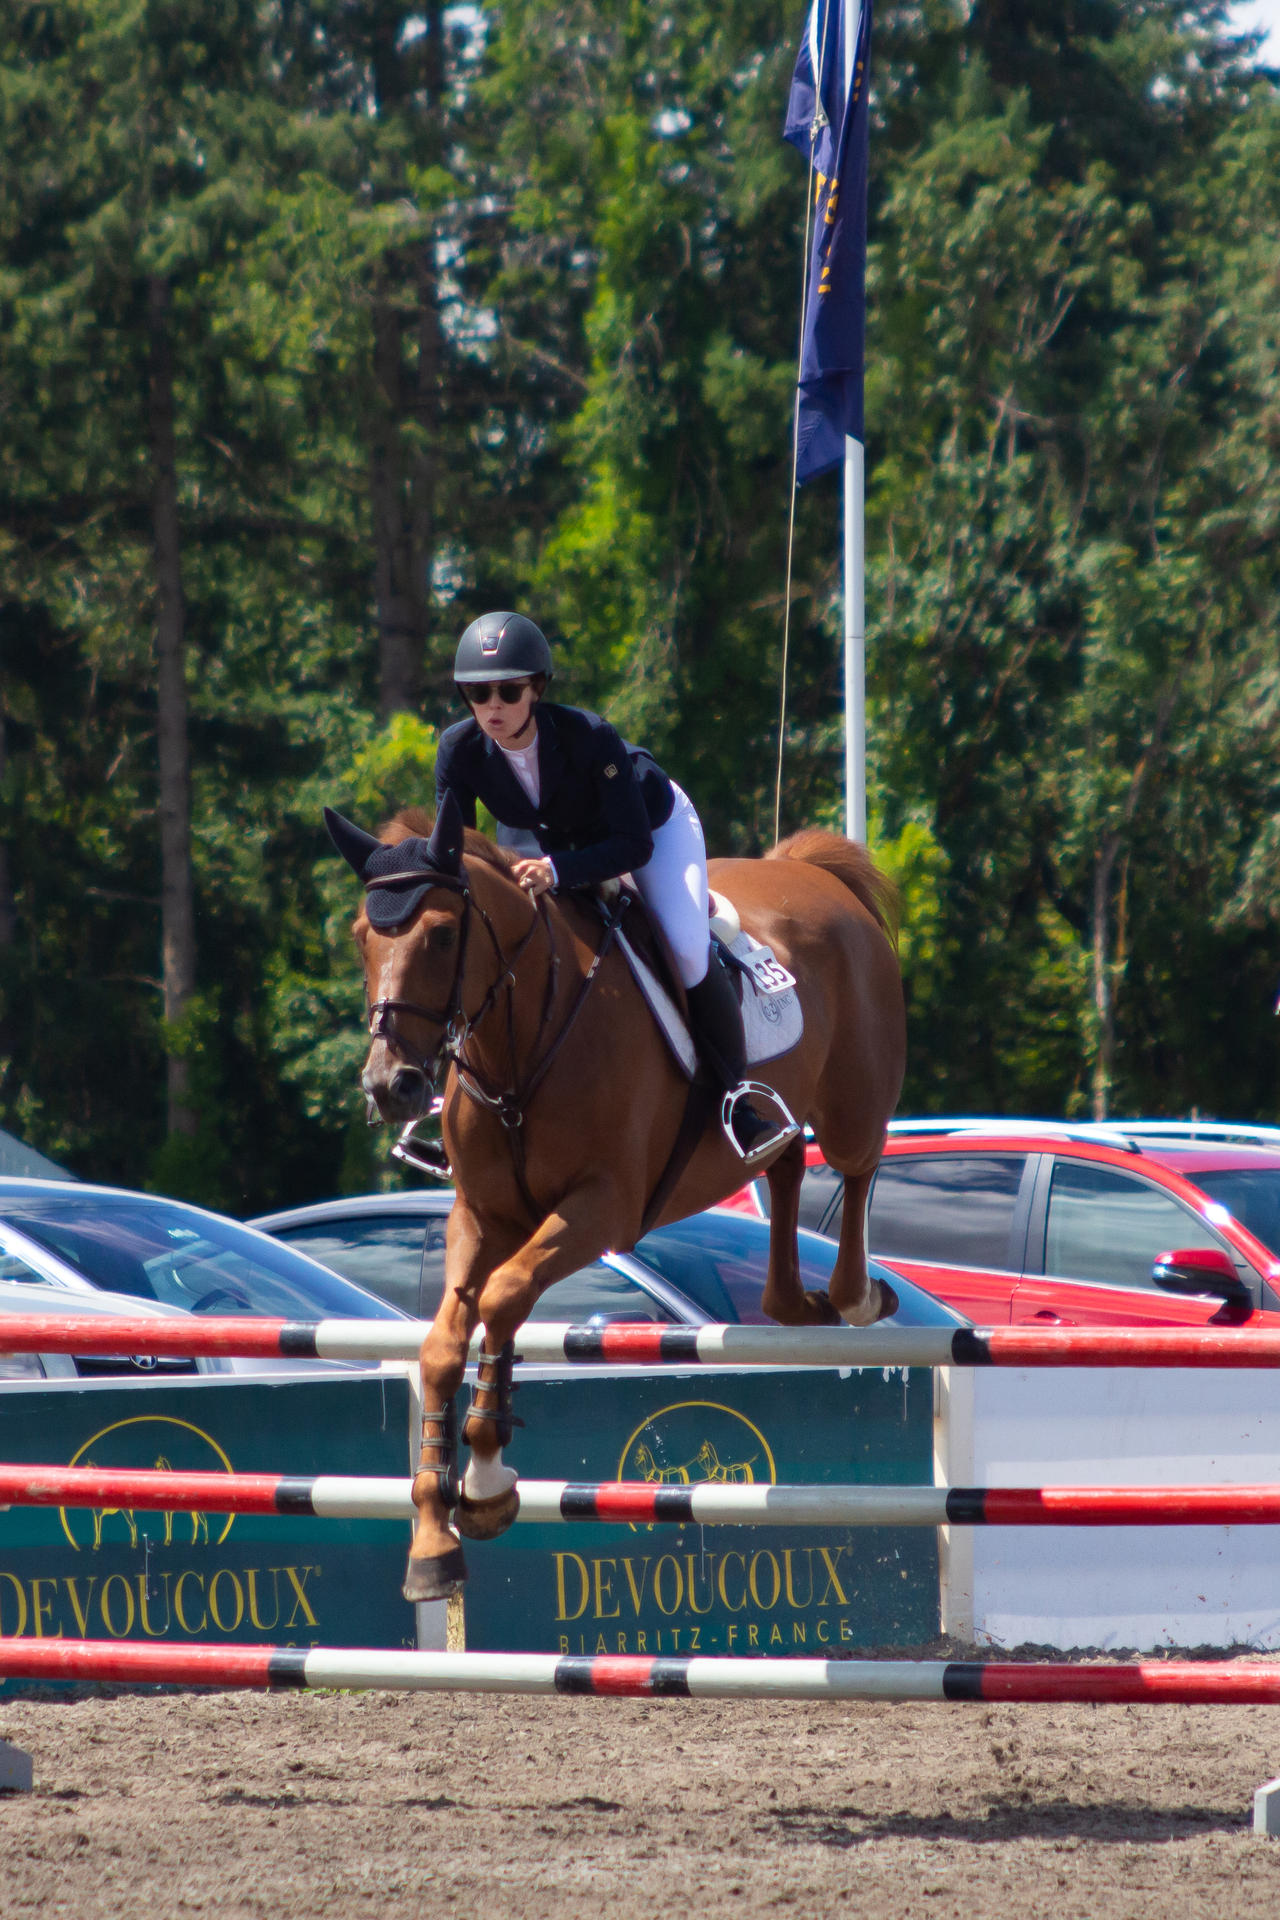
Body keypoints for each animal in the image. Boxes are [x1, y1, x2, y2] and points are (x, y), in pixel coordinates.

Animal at [326, 793, 905, 1602]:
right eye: (361, 939)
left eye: (441, 935)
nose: (391, 1086)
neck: (522, 1046)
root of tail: (812, 872)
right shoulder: (483, 1215)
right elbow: (445, 1345)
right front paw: (436, 1541)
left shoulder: (601, 1208)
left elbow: (504, 1298)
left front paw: (487, 1479)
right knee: (786, 1166)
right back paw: (798, 1303)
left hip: (854, 1101)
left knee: (854, 1169)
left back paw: (856, 1297)